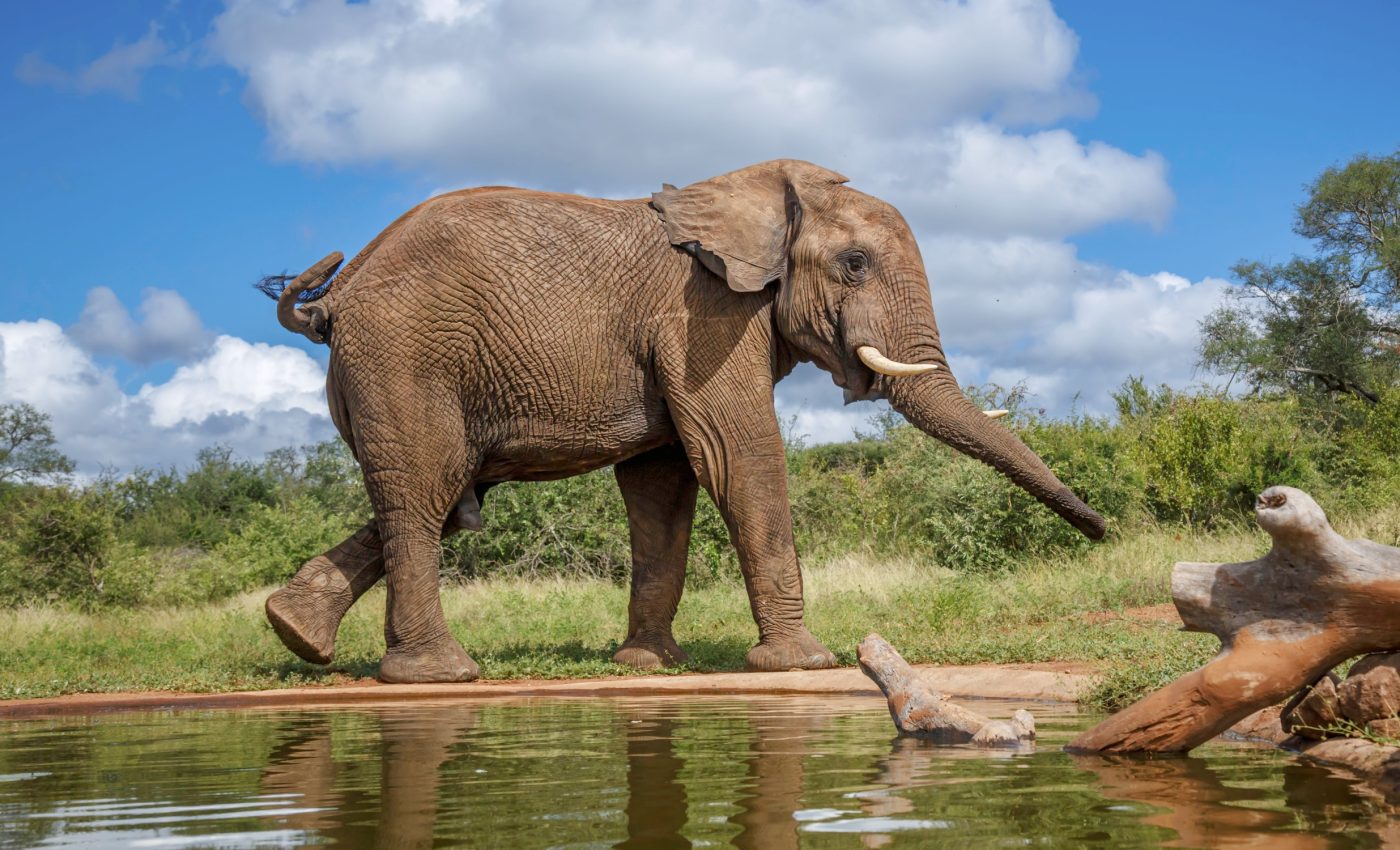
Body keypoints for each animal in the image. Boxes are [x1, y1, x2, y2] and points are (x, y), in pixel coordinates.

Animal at [261, 159, 1106, 684]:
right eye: (855, 265)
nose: (1101, 530)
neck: (762, 190)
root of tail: (336, 296)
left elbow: (662, 486)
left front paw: (647, 667)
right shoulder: (705, 316)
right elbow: (738, 455)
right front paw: (803, 664)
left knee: (440, 490)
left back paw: (296, 632)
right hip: (405, 359)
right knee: (425, 490)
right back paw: (441, 673)